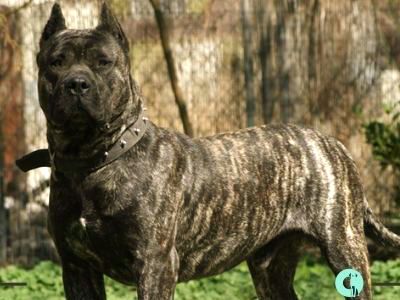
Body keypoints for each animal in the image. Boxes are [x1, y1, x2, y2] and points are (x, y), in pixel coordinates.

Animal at [18, 2, 400, 300]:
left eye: (103, 62)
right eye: (56, 62)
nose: (76, 83)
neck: (93, 160)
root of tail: (332, 142)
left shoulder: (155, 265)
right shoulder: (77, 266)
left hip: (344, 248)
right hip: (269, 267)